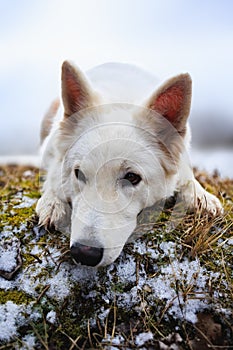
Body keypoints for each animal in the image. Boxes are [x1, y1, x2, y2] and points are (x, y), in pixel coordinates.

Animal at [36, 61, 222, 266]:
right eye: (79, 174)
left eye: (132, 177)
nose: (84, 253)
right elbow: (52, 175)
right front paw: (52, 202)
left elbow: (186, 175)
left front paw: (201, 196)